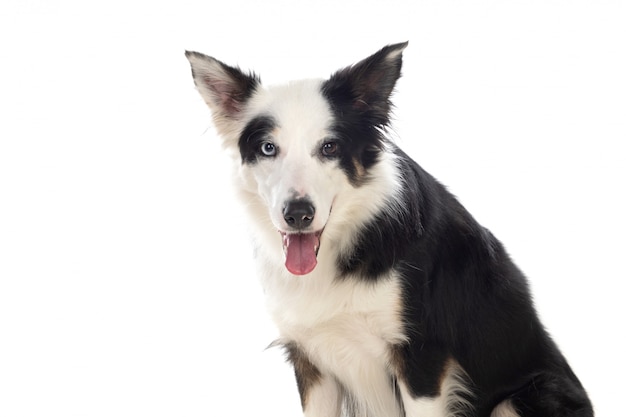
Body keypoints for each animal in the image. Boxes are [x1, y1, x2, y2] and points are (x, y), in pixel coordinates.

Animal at [184, 43, 588, 416]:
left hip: (526, 396)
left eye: (329, 147)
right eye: (268, 148)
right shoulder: (312, 360)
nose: (297, 214)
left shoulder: (422, 359)